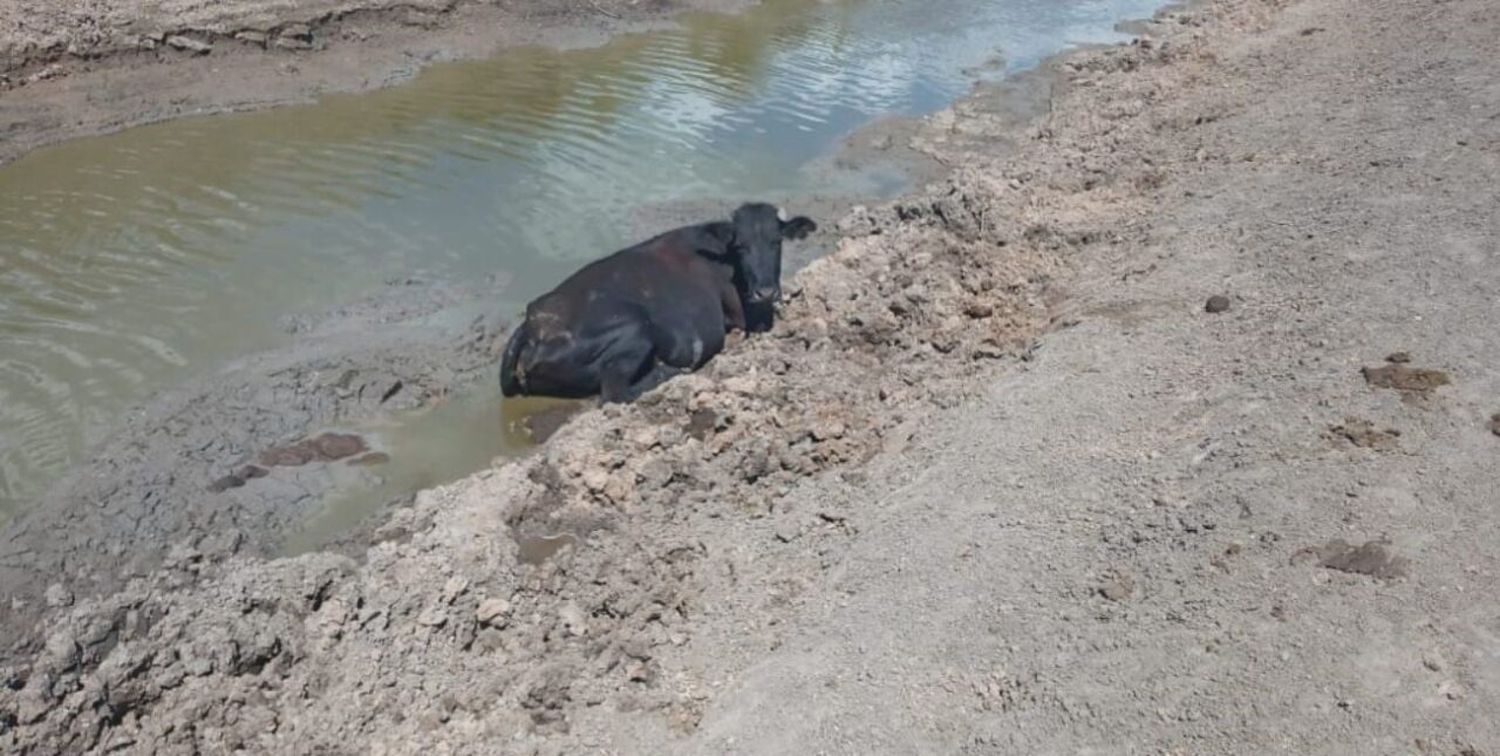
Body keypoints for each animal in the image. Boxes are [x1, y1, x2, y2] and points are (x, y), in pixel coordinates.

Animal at [498, 201, 816, 402]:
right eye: (741, 245)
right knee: (614, 393)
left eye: (777, 241)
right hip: (635, 329)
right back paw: (668, 372)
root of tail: (532, 322)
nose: (766, 291)